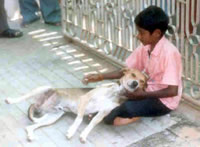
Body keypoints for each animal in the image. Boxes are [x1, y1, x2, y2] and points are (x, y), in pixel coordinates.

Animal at [4, 68, 147, 143]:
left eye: (142, 81)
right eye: (133, 74)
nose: (135, 83)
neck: (115, 92)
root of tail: (40, 105)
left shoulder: (102, 113)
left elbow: (92, 123)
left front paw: (84, 135)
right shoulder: (85, 99)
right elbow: (78, 119)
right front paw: (72, 131)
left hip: (53, 117)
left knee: (29, 127)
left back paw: (30, 135)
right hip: (44, 88)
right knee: (22, 97)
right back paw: (10, 100)